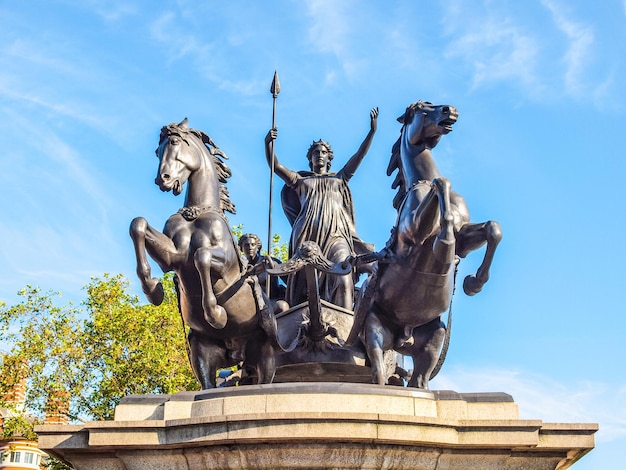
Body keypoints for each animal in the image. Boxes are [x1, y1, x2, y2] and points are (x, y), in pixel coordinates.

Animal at [129, 118, 280, 390]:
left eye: (174, 142)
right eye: (157, 151)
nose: (162, 179)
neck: (196, 213)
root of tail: (238, 354)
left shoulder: (226, 264)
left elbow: (202, 257)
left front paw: (216, 315)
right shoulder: (173, 257)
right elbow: (138, 224)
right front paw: (153, 289)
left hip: (266, 354)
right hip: (202, 353)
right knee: (208, 384)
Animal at [348, 102, 500, 390]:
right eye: (422, 109)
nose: (450, 110)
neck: (423, 180)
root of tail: (402, 337)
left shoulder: (465, 238)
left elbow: (492, 229)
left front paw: (472, 283)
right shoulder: (415, 231)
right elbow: (443, 185)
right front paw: (444, 244)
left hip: (433, 339)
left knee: (419, 382)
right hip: (374, 333)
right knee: (379, 376)